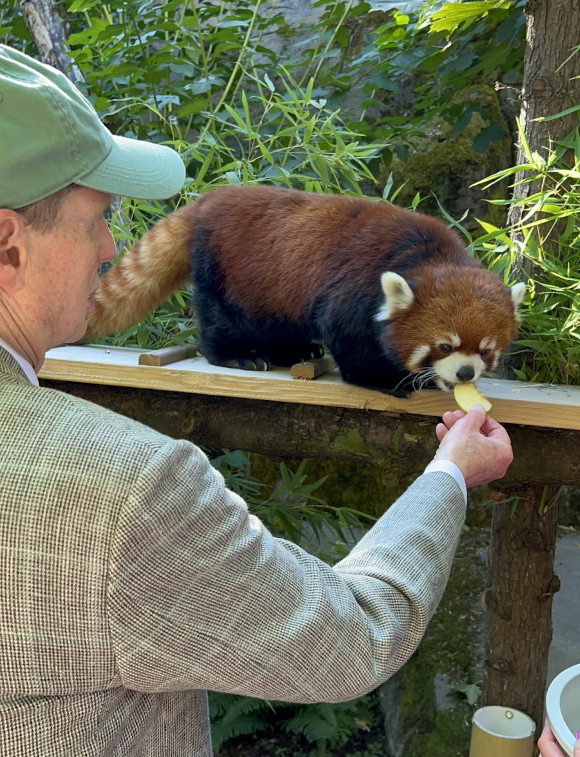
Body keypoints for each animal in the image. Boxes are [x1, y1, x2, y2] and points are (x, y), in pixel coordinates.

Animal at [87, 185, 524, 396]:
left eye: (486, 350)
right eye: (446, 346)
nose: (466, 373)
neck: (425, 255)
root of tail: (208, 201)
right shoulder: (354, 288)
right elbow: (349, 338)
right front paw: (384, 381)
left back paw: (296, 353)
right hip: (225, 269)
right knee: (220, 318)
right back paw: (237, 357)